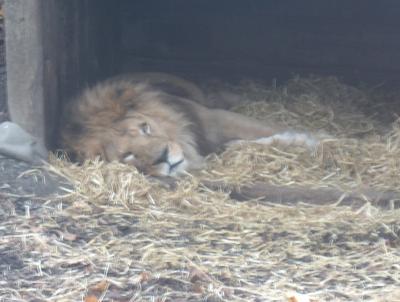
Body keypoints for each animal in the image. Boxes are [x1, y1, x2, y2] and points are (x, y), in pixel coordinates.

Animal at [61, 73, 318, 177]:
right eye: (128, 155)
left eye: (146, 127)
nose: (164, 157)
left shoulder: (215, 118)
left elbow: (264, 129)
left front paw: (318, 138)